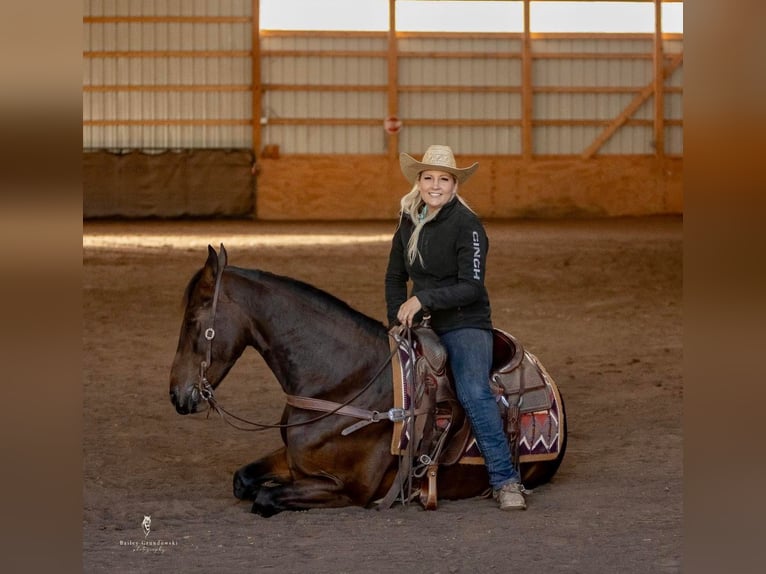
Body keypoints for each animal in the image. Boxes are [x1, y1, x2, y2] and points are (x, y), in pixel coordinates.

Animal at [168, 245, 568, 520]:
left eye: (193, 321)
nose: (177, 395)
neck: (342, 385)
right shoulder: (294, 459)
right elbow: (243, 479)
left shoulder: (346, 487)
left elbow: (265, 496)